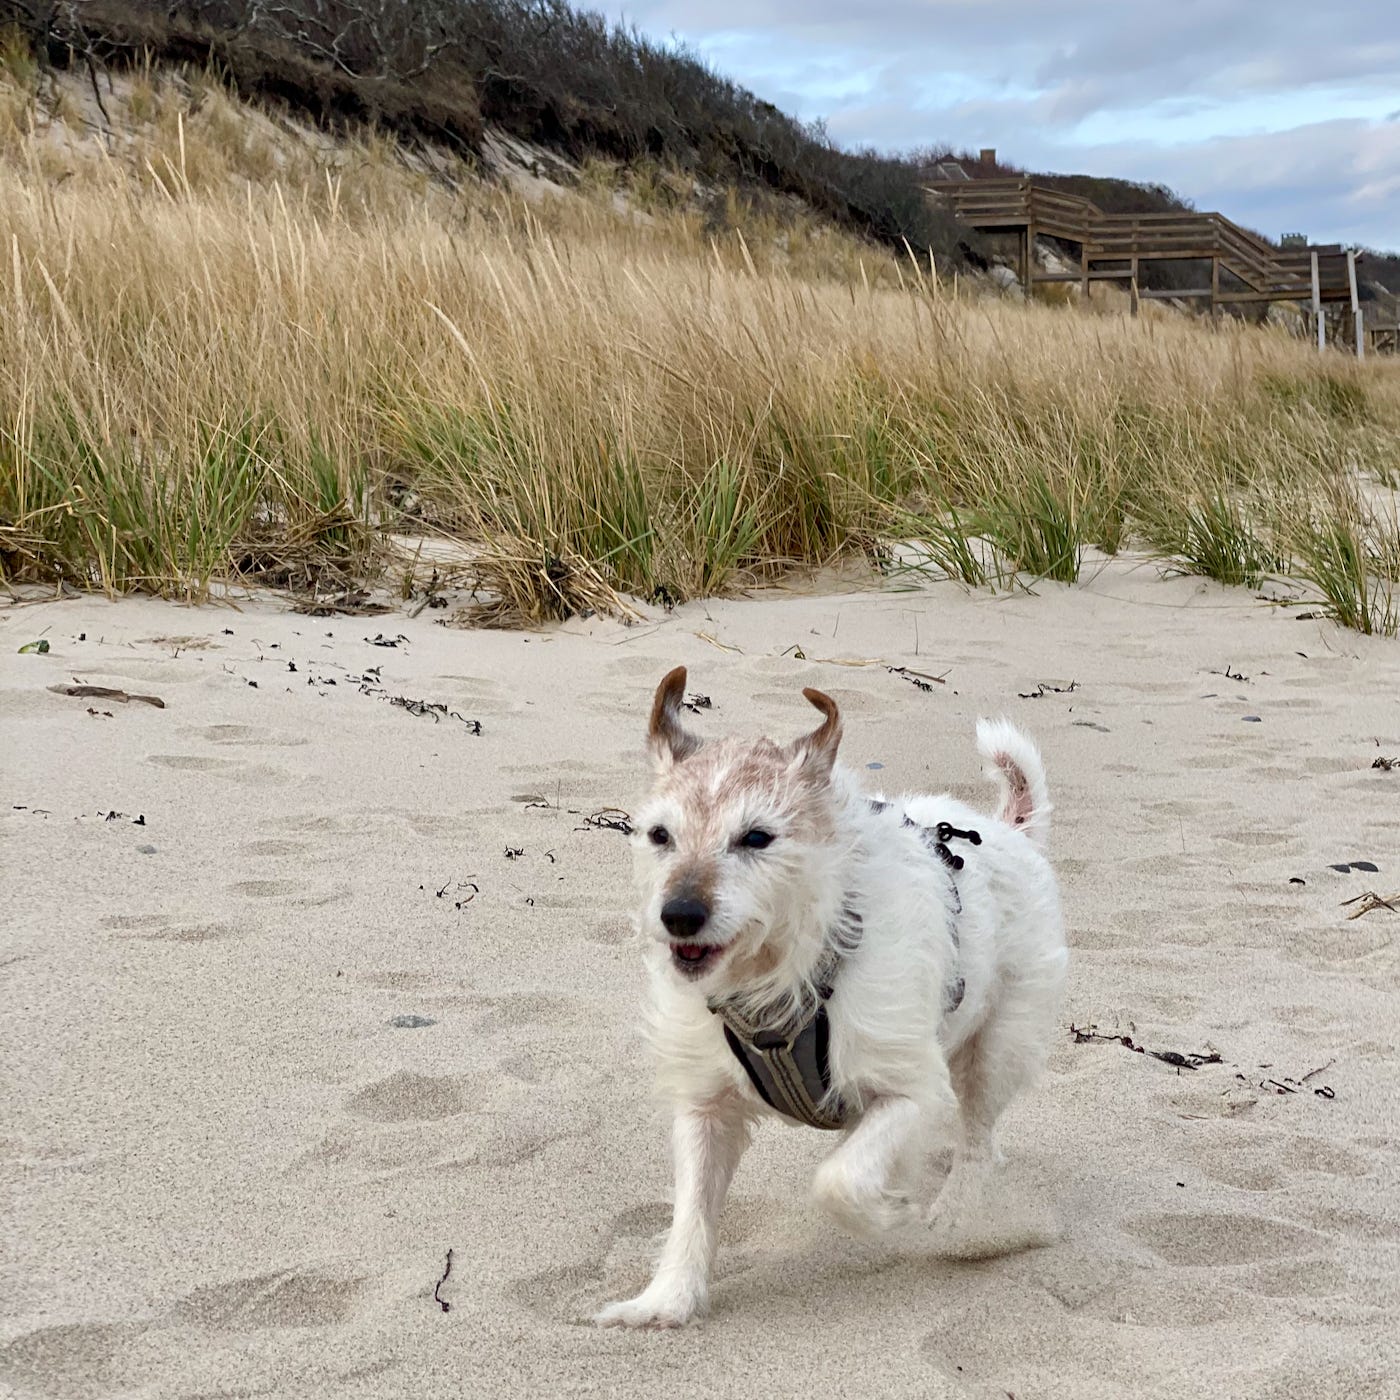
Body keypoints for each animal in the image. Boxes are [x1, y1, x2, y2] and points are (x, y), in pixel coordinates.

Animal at [596, 666, 1064, 1321]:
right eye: (660, 835)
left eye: (757, 837)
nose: (679, 915)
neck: (782, 973)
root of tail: (1007, 829)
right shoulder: (704, 1108)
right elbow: (692, 1208)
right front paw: (667, 1300)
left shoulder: (913, 1091)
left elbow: (837, 1183)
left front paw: (895, 1216)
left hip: (997, 1050)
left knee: (975, 1141)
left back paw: (959, 1225)